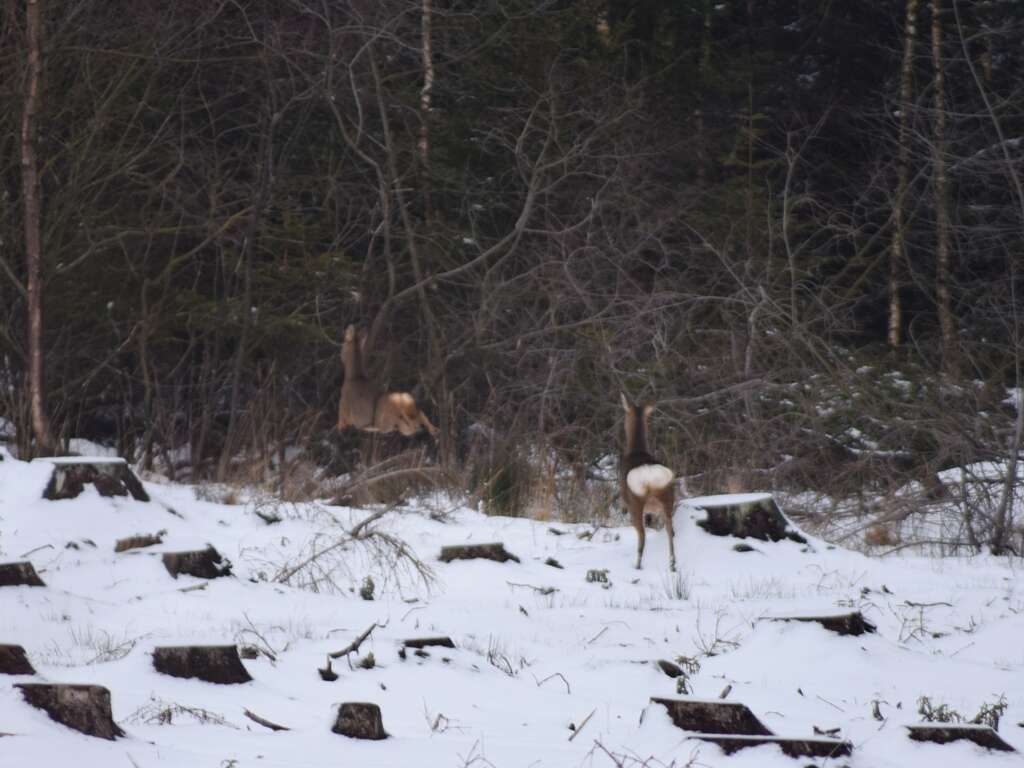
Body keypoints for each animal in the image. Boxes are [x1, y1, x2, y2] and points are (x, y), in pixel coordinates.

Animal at [618, 397, 675, 573]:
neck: (637, 451)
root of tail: (650, 478)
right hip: (668, 497)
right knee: (670, 531)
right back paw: (673, 564)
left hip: (635, 502)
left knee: (642, 535)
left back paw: (637, 566)